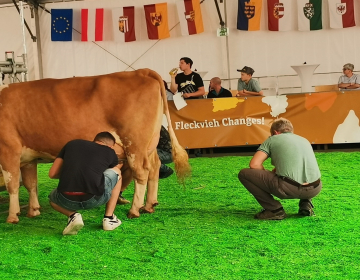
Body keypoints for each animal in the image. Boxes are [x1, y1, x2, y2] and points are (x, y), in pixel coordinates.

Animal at [0, 69, 191, 223]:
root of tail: (141, 71)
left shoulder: (8, 149)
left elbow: (12, 184)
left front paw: (12, 216)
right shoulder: (28, 158)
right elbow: (31, 184)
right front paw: (33, 211)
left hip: (135, 143)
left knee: (141, 171)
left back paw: (134, 210)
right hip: (149, 145)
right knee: (154, 168)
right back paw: (149, 205)